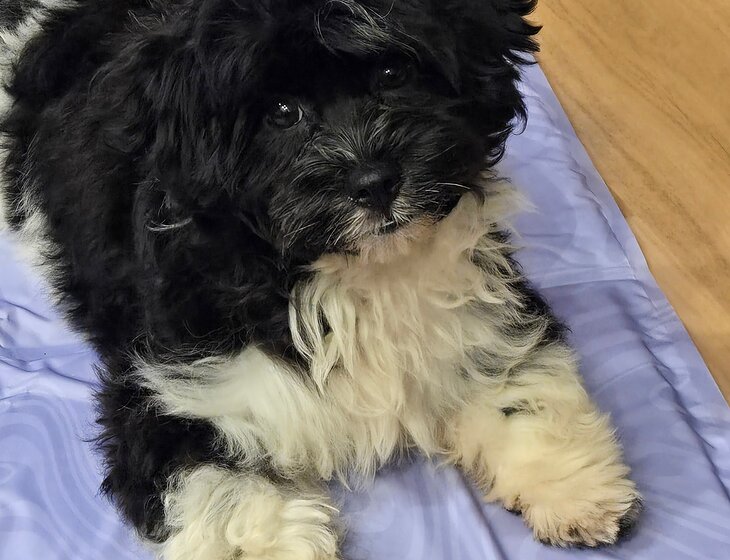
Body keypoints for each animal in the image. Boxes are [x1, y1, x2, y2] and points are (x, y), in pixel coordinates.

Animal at [0, 0, 642, 557]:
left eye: (393, 71)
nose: (374, 181)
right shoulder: (173, 387)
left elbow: (518, 382)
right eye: (282, 113)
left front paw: (571, 485)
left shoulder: (481, 303)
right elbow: (217, 485)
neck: (355, 269)